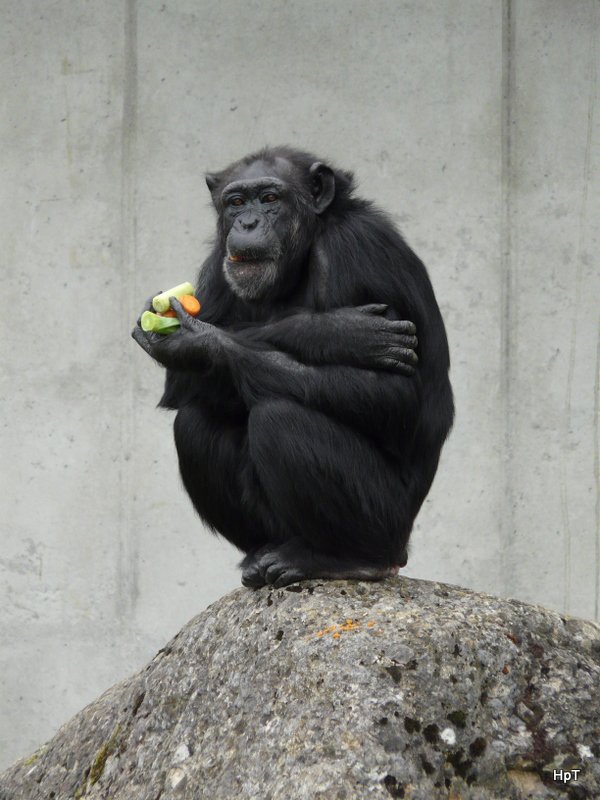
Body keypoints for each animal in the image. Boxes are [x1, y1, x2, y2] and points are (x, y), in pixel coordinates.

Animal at [132, 147, 454, 588]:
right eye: (236, 202)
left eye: (270, 198)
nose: (248, 222)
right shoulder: (217, 264)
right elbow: (181, 384)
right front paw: (341, 332)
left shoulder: (358, 248)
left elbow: (394, 394)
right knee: (195, 422)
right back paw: (262, 555)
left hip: (387, 523)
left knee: (281, 418)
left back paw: (348, 559)